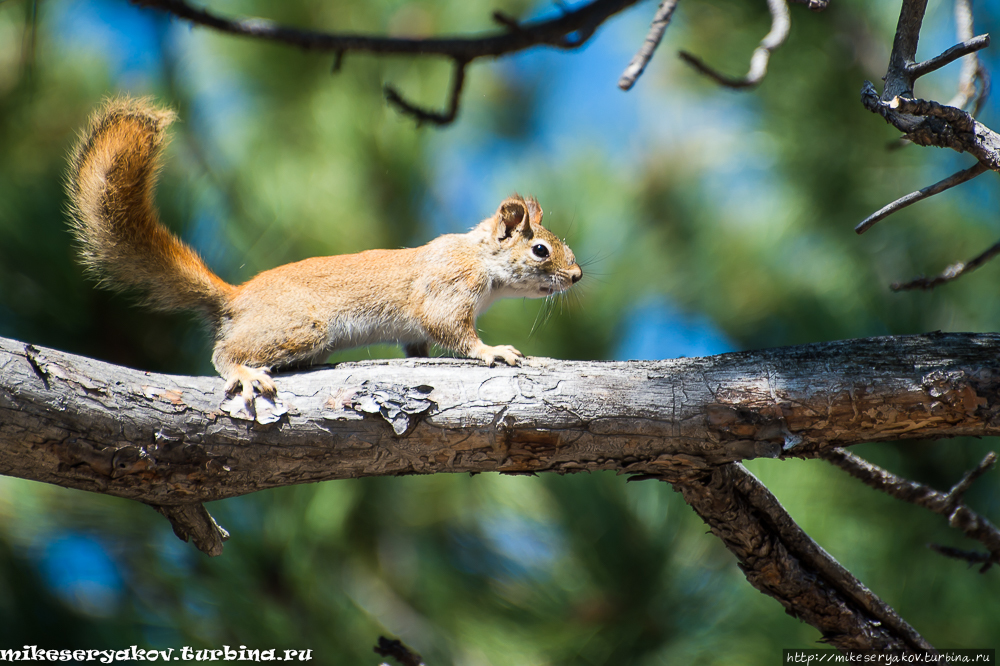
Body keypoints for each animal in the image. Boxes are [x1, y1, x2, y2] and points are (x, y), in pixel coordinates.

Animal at [66, 97, 584, 410]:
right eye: (540, 250)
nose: (578, 275)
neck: (479, 258)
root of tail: (235, 298)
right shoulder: (448, 289)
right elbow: (454, 332)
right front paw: (493, 351)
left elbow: (418, 344)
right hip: (300, 326)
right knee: (224, 352)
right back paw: (246, 372)